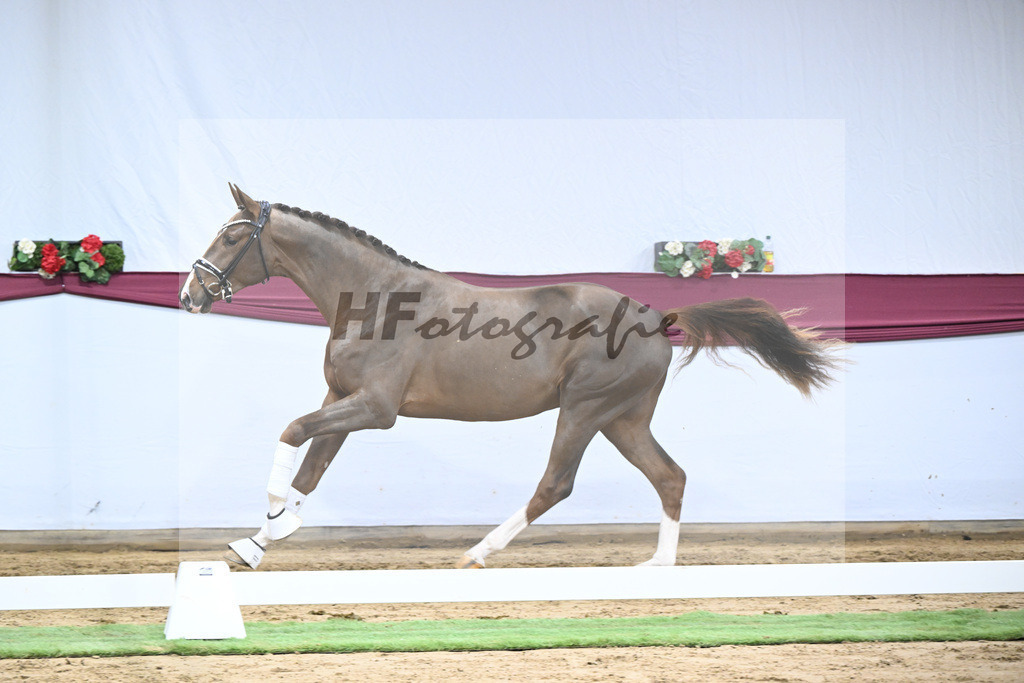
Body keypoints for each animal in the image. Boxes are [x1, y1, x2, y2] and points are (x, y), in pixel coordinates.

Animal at [180, 183, 843, 570]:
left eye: (233, 236)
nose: (190, 293)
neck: (375, 296)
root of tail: (659, 318)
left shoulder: (376, 407)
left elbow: (292, 433)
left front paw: (272, 518)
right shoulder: (343, 397)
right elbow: (312, 467)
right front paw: (258, 540)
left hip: (584, 410)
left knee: (557, 484)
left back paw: (478, 552)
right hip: (623, 419)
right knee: (670, 477)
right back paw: (657, 569)